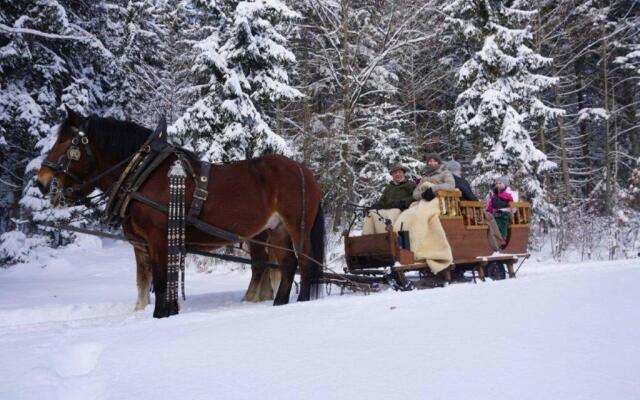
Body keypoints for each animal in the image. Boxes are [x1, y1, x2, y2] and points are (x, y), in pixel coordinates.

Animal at [35, 109, 324, 318]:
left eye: (66, 142)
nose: (42, 181)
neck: (142, 172)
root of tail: (304, 171)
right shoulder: (144, 244)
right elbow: (145, 282)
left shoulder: (158, 239)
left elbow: (162, 281)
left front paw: (161, 315)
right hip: (276, 230)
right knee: (287, 266)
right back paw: (279, 305)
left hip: (296, 226)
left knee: (305, 264)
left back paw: (302, 303)